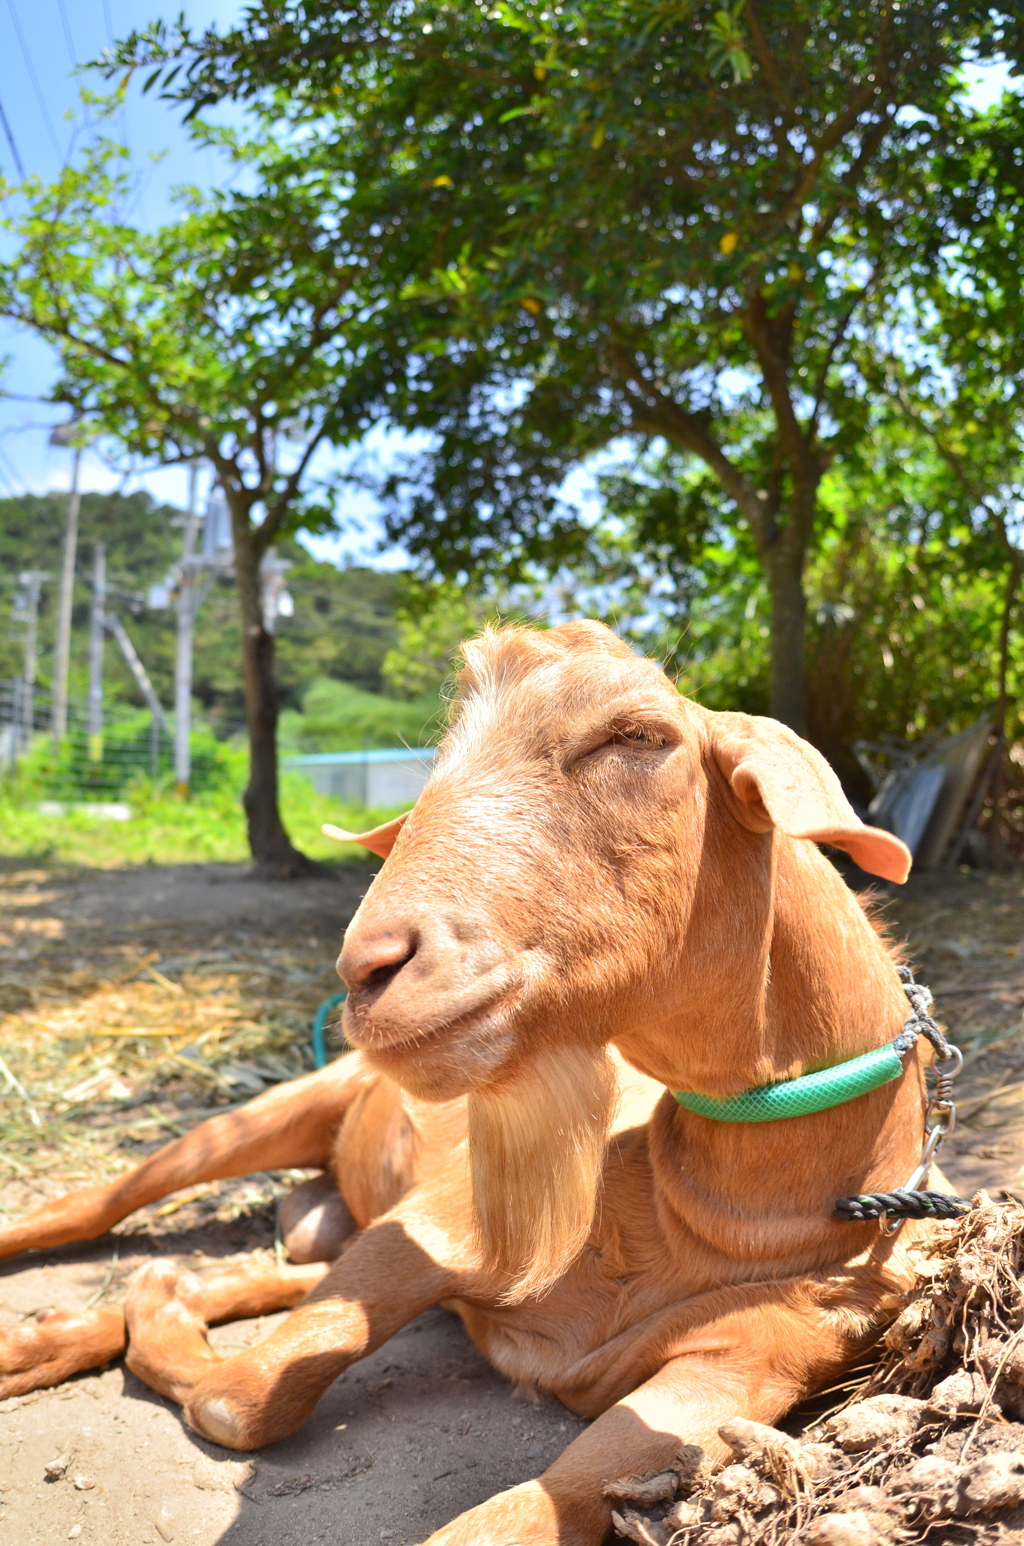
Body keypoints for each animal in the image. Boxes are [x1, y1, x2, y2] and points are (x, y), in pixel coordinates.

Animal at [0, 624, 946, 1546]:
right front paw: (157, 1318)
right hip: (279, 1111)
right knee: (98, 1204)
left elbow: (515, 1509)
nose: (369, 968)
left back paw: (71, 1329)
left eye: (638, 734)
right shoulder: (441, 1220)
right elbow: (242, 1401)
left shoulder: (752, 1361)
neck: (720, 1213)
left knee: (259, 1273)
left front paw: (156, 1303)